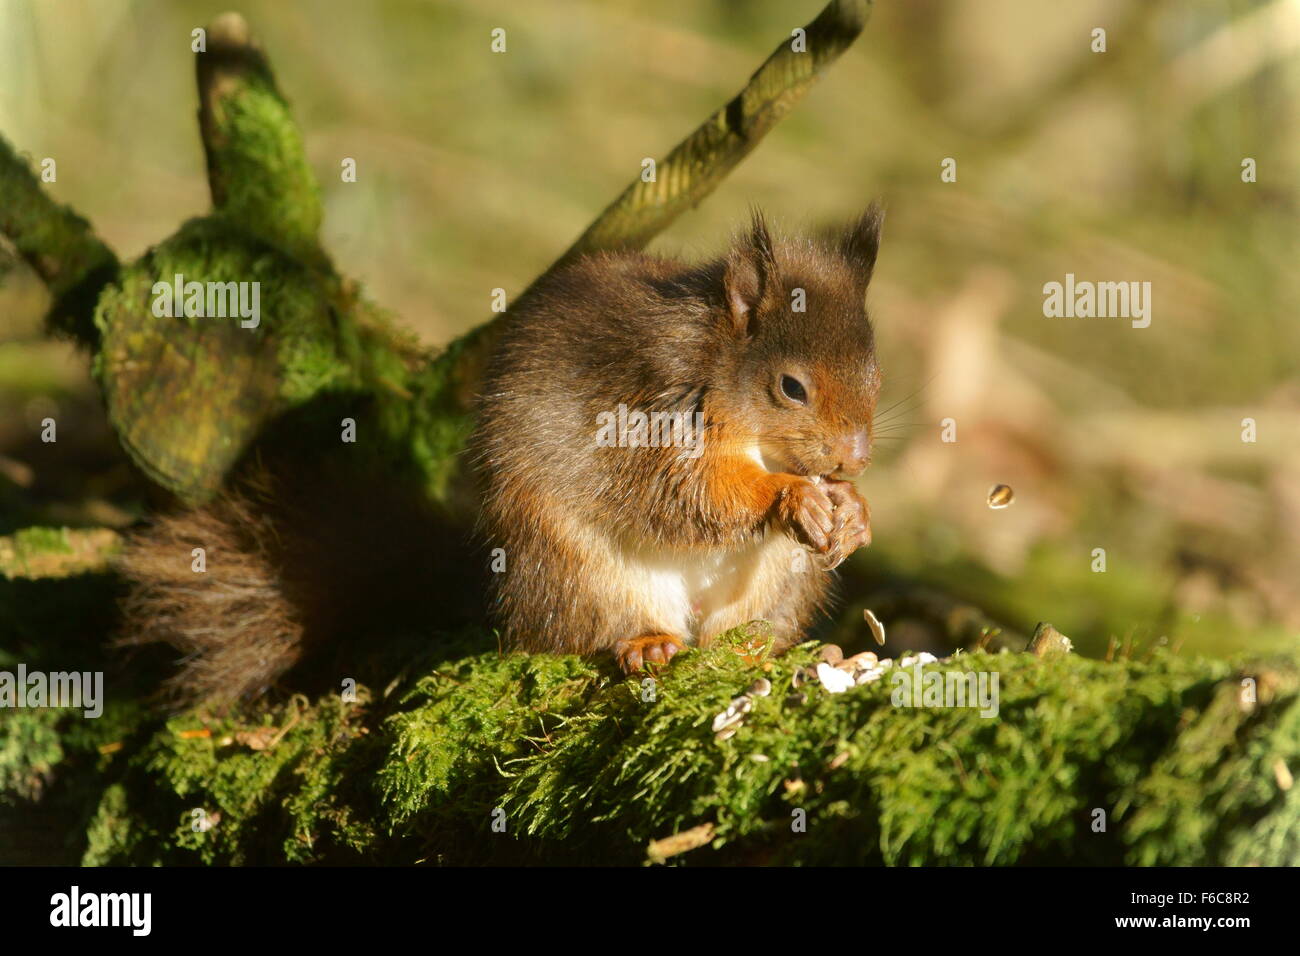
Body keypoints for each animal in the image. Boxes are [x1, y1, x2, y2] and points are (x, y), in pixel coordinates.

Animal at [473, 208, 878, 671]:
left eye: (875, 375)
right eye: (791, 387)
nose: (855, 459)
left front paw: (854, 510)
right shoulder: (647, 413)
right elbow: (691, 492)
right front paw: (793, 495)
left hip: (782, 580)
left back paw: (747, 654)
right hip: (571, 566)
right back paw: (649, 642)